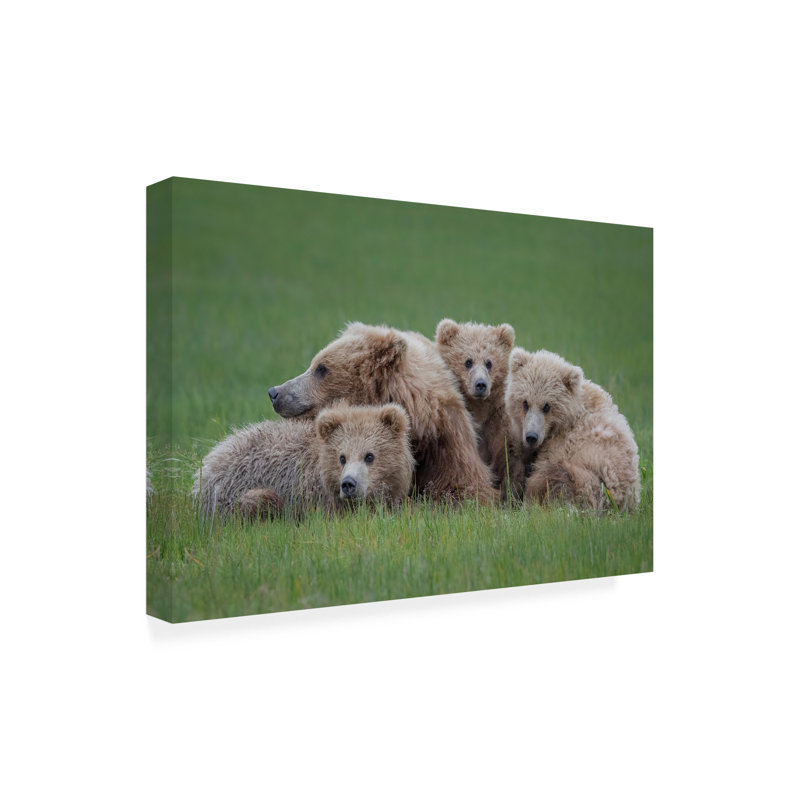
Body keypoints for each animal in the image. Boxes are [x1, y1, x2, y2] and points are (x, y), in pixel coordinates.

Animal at [435, 318, 524, 498]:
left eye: (489, 363)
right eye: (468, 361)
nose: (481, 384)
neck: (479, 408)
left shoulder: (498, 419)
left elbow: (508, 455)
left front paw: (509, 493)